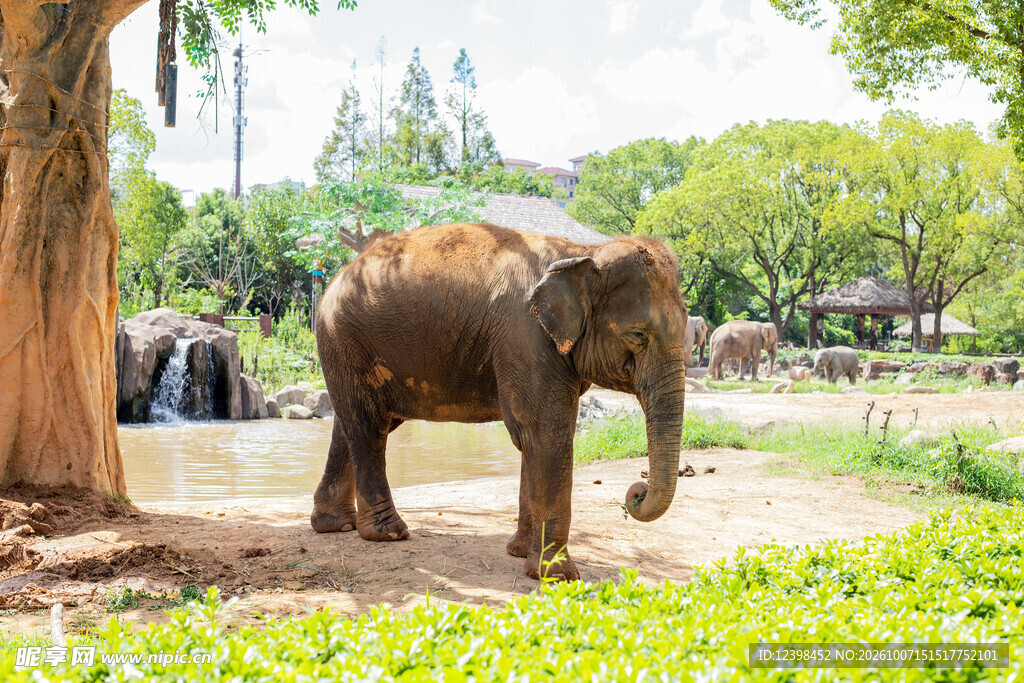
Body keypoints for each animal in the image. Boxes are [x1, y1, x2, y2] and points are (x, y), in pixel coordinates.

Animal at [310, 223, 688, 582]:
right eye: (637, 336)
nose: (636, 491)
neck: (585, 251)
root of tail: (339, 276)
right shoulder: (526, 338)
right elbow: (547, 434)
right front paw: (556, 576)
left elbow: (532, 438)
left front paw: (519, 553)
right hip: (346, 340)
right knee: (369, 427)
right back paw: (388, 533)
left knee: (351, 424)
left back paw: (336, 525)